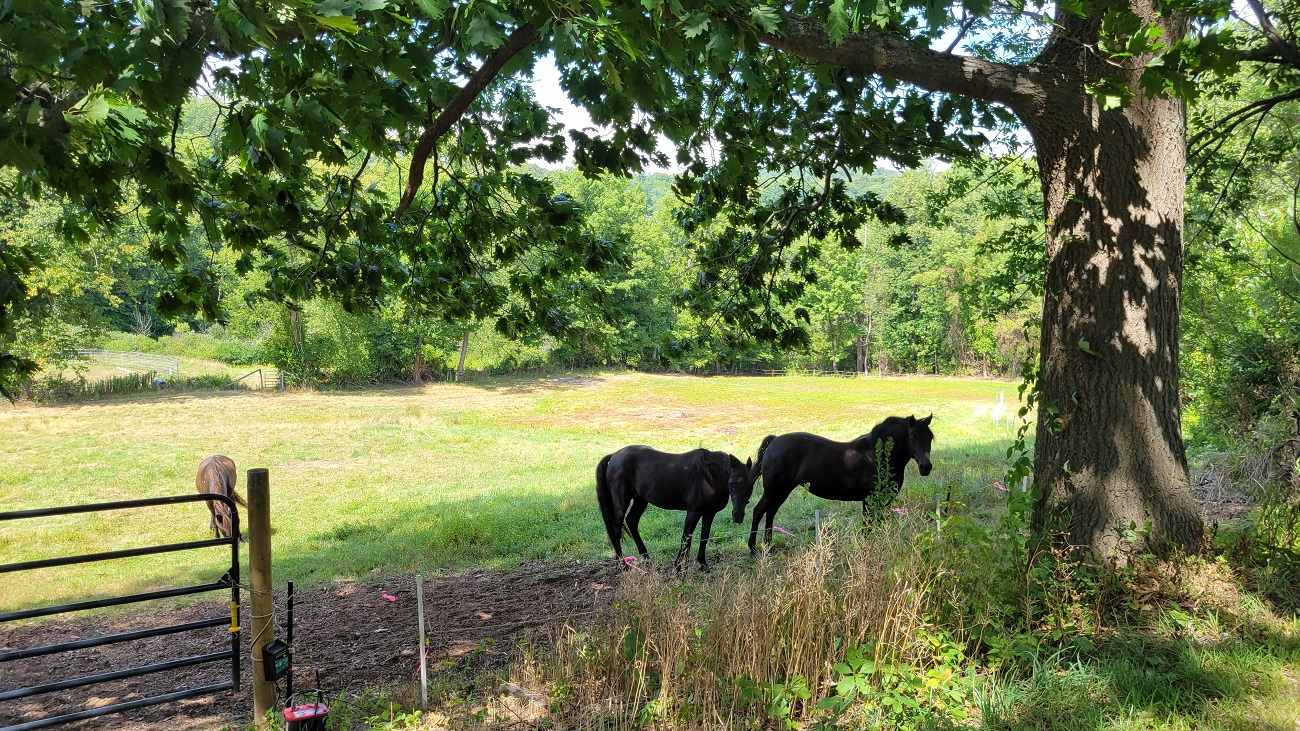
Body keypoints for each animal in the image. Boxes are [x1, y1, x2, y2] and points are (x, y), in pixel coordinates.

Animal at [595, 444, 759, 569]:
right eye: (732, 483)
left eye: (751, 485)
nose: (738, 516)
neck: (709, 477)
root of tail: (614, 456)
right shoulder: (693, 512)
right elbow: (686, 538)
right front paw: (679, 567)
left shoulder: (709, 513)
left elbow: (704, 537)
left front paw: (703, 564)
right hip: (621, 503)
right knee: (616, 529)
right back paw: (622, 564)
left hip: (641, 500)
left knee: (632, 522)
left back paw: (646, 558)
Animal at [743, 413, 935, 548]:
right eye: (912, 437)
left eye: (930, 438)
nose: (926, 467)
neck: (876, 456)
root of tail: (775, 440)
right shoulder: (869, 500)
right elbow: (867, 526)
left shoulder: (883, 501)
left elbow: (879, 523)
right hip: (773, 491)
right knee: (758, 511)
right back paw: (753, 549)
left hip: (783, 491)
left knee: (770, 513)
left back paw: (768, 546)